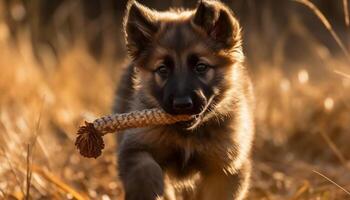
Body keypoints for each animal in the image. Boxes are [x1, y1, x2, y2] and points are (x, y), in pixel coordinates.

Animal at [115, 0, 254, 199]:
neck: (187, 136)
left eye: (201, 67)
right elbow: (145, 169)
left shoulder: (226, 168)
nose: (182, 105)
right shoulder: (134, 146)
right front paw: (150, 190)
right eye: (163, 69)